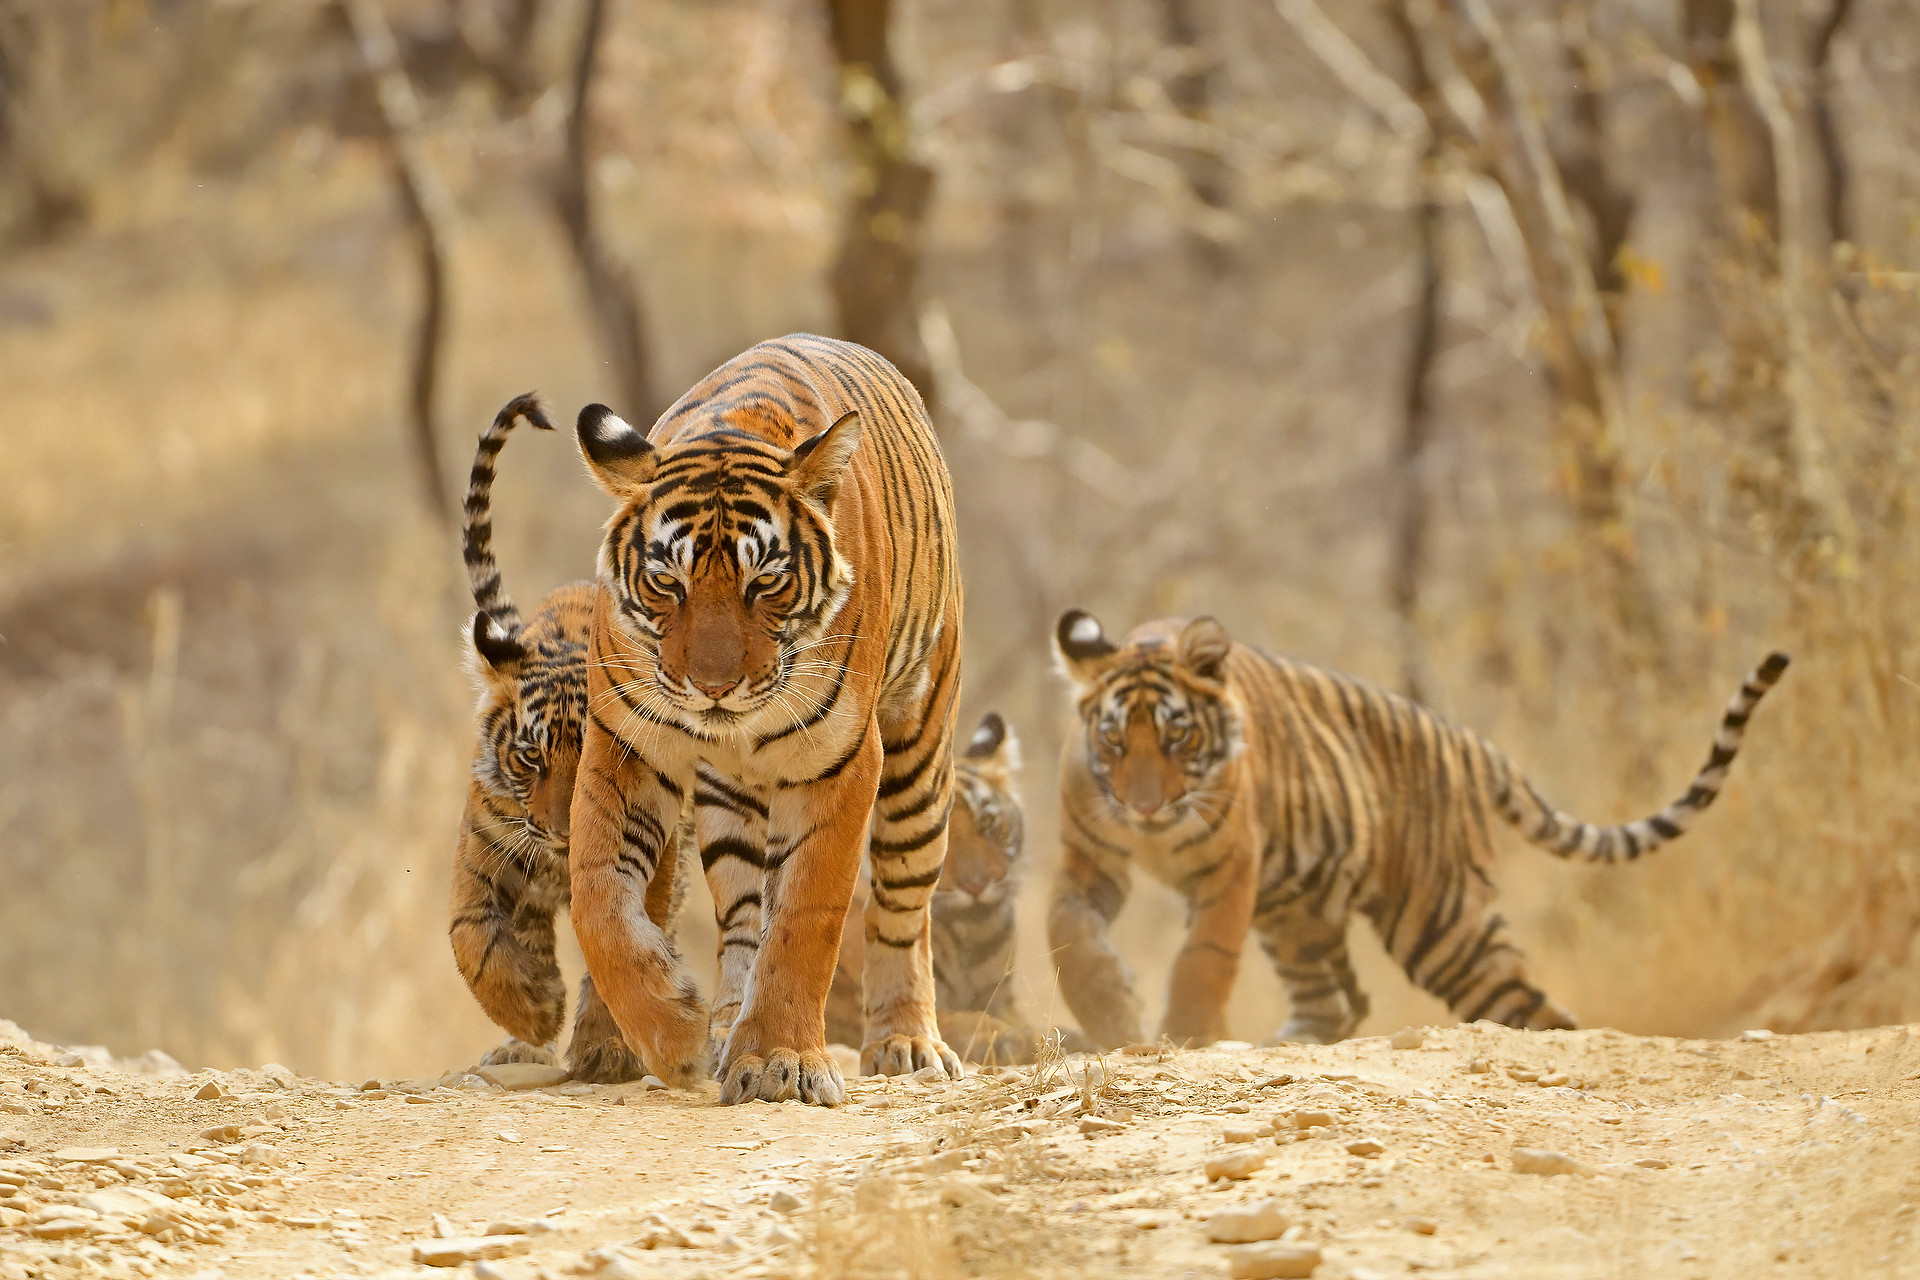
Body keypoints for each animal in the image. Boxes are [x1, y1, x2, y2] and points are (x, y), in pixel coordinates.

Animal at [446, 393, 673, 1083]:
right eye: (530, 758)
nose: (563, 835)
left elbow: (624, 952)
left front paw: (604, 1051)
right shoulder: (482, 849)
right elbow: (471, 936)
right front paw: (534, 1013)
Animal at [568, 334, 964, 1106]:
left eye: (767, 583)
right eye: (668, 583)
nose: (713, 686)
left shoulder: (844, 760)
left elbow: (807, 916)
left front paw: (782, 1059)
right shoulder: (627, 744)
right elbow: (597, 898)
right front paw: (675, 1034)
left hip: (920, 762)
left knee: (903, 909)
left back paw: (907, 1041)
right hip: (728, 808)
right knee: (744, 918)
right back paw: (725, 1026)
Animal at [1047, 608, 1790, 1048]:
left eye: (1177, 737)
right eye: (1113, 740)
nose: (1144, 808)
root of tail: (1467, 742)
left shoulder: (1229, 867)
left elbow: (1204, 957)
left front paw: (1184, 1033)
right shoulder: (1088, 856)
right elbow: (1068, 936)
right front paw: (1112, 1010)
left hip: (1439, 922)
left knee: (1534, 1005)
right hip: (1297, 918)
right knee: (1335, 1003)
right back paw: (1291, 1043)